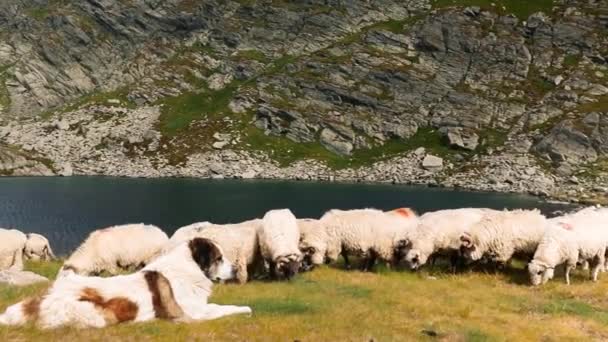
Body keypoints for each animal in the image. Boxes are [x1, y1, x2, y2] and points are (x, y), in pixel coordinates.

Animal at [0, 238, 252, 328]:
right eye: (219, 258)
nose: (236, 269)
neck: (190, 268)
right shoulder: (193, 313)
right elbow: (223, 309)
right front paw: (245, 309)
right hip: (98, 315)